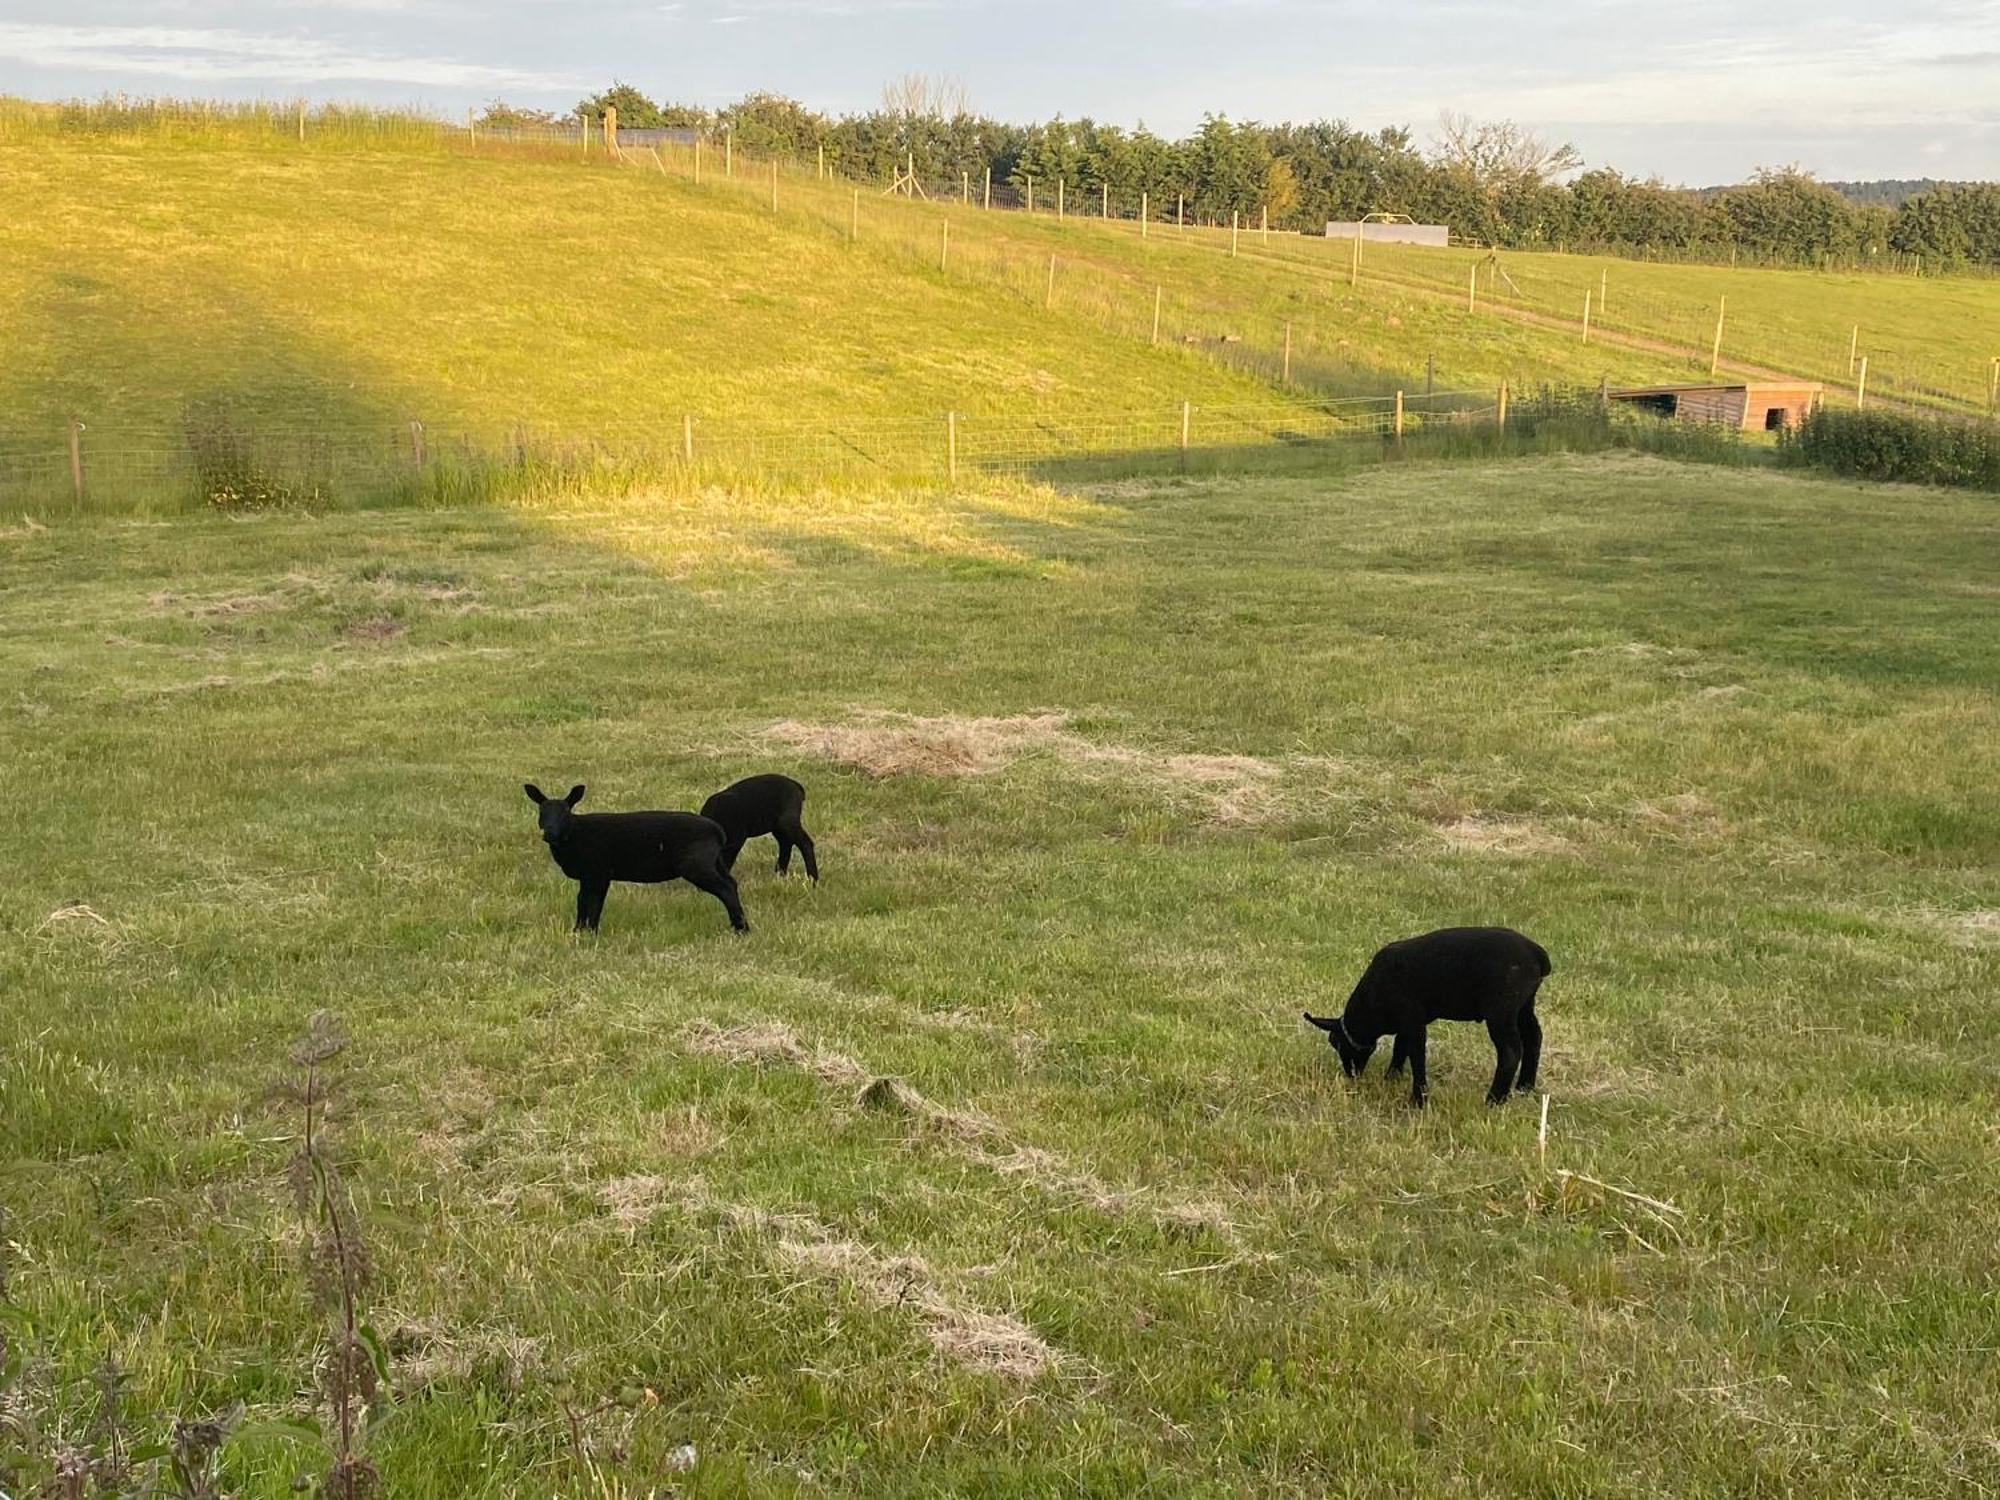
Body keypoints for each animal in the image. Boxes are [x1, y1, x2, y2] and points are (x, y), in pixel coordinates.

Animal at [524, 788, 752, 940]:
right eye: (541, 813)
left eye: (565, 812)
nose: (549, 833)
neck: (575, 834)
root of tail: (717, 831)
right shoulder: (589, 876)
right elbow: (582, 901)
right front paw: (579, 932)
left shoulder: (598, 872)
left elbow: (593, 903)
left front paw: (590, 933)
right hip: (713, 861)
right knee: (731, 884)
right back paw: (740, 926)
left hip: (696, 864)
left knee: (725, 888)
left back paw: (741, 929)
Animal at [1304, 924, 1552, 1112]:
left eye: (1335, 1043)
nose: (1351, 1075)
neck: (1370, 1003)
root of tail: (1537, 955)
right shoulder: (1409, 1021)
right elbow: (1400, 1047)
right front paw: (1391, 1078)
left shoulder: (1413, 1021)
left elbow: (1416, 1057)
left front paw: (1418, 1099)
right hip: (1524, 1005)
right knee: (1534, 1037)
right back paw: (1524, 1087)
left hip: (1501, 1009)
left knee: (1511, 1051)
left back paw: (1493, 1099)